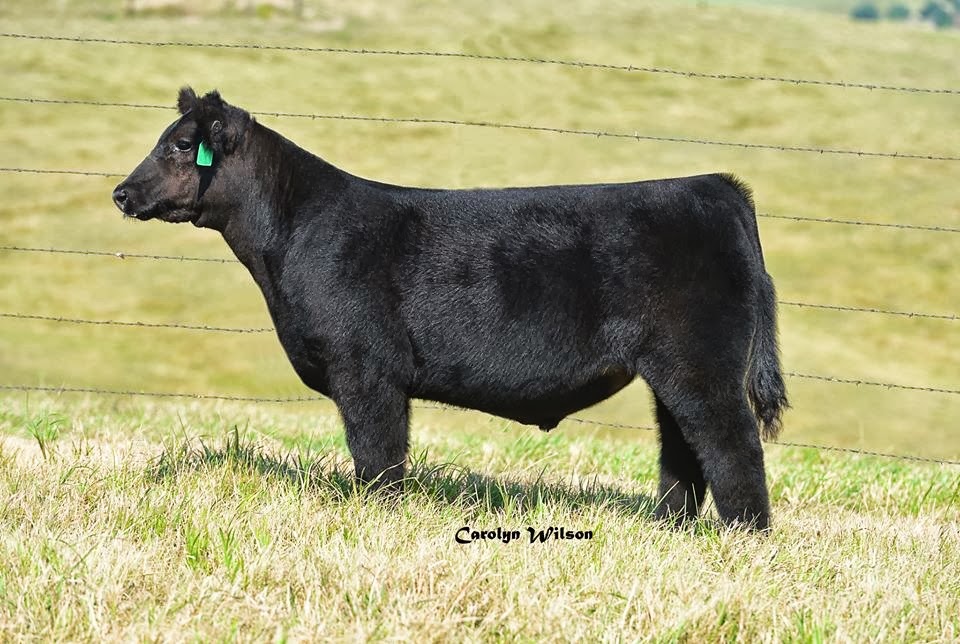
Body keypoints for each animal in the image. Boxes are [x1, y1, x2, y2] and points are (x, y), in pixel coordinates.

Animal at [113, 88, 788, 529]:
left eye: (180, 146)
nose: (120, 192)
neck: (292, 236)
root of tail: (715, 184)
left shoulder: (366, 368)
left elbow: (377, 453)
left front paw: (377, 516)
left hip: (701, 364)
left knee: (732, 444)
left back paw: (745, 536)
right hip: (673, 370)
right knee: (683, 447)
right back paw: (670, 527)